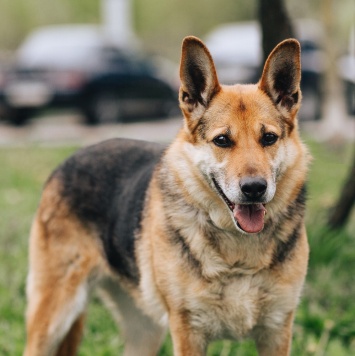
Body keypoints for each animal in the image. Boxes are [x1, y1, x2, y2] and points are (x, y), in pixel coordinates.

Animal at [25, 36, 310, 356]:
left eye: (269, 138)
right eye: (222, 140)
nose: (254, 188)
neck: (237, 252)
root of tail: (71, 158)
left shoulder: (276, 331)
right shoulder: (188, 332)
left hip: (145, 332)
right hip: (54, 317)